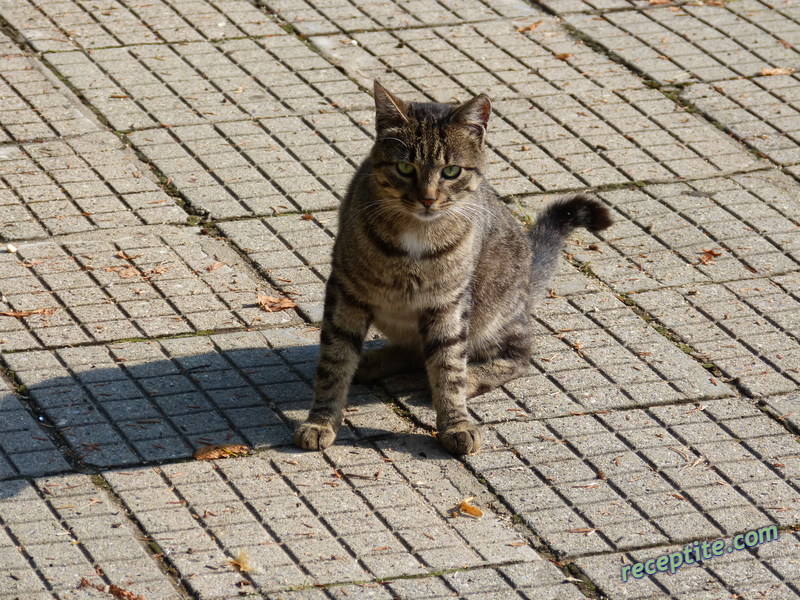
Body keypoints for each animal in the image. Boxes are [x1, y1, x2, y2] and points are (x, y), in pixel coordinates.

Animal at [296, 81, 612, 454]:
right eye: (405, 169)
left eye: (451, 171)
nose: (428, 198)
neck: (415, 234)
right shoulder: (346, 291)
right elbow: (335, 361)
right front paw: (321, 420)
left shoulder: (449, 303)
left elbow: (449, 366)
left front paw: (455, 422)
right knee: (412, 352)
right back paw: (370, 362)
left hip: (492, 315)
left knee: (517, 357)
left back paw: (462, 380)